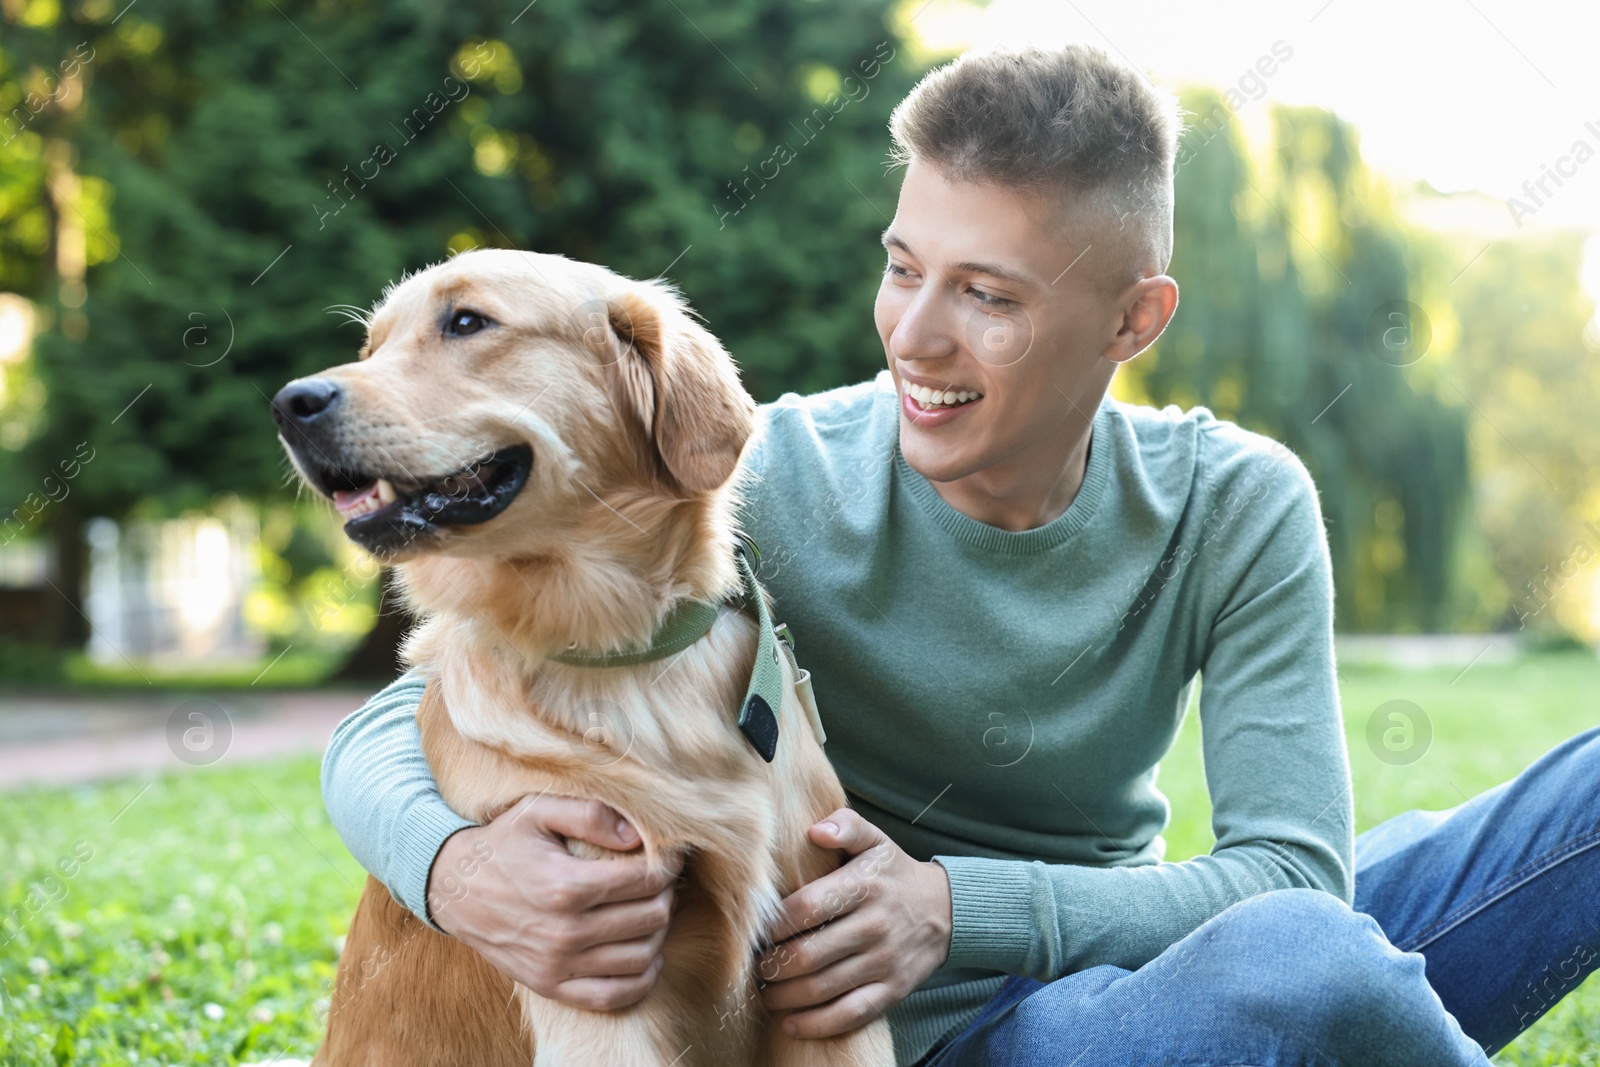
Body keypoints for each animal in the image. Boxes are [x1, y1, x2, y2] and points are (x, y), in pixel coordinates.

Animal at [275, 251, 902, 1067]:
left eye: (467, 322)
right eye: (371, 346)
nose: (290, 402)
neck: (621, 652)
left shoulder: (824, 968)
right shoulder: (590, 972)